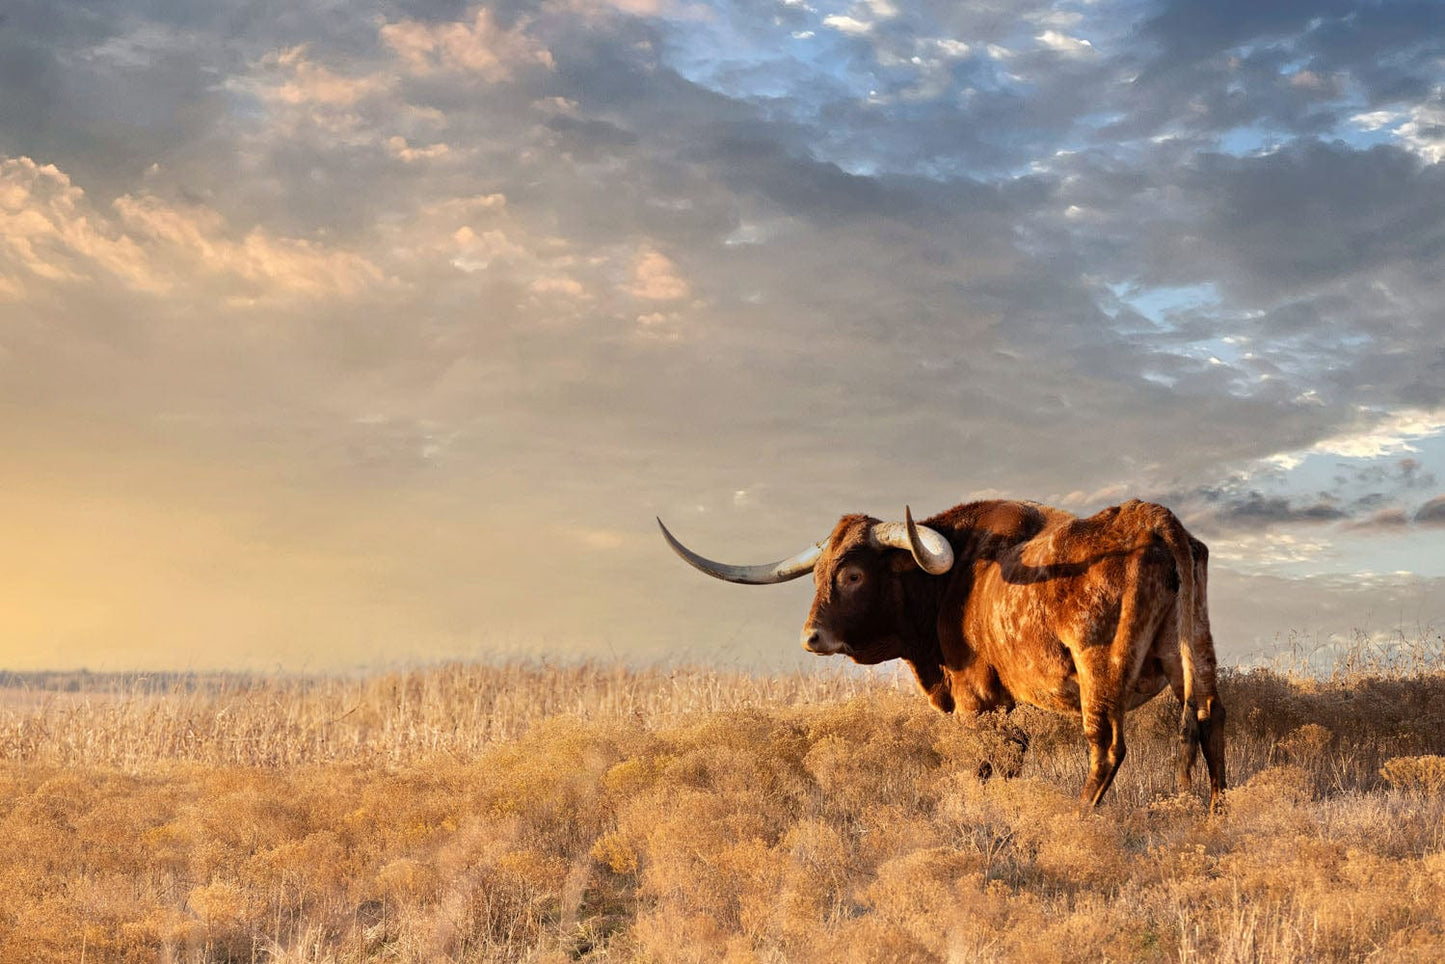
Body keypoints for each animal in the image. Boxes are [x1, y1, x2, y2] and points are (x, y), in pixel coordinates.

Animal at [658, 499, 1226, 809]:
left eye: (854, 574)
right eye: (818, 574)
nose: (811, 637)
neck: (955, 582)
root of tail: (1154, 520)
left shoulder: (978, 696)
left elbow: (988, 762)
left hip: (1099, 669)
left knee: (1106, 746)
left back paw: (1078, 814)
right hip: (1193, 653)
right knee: (1209, 720)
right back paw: (1217, 813)